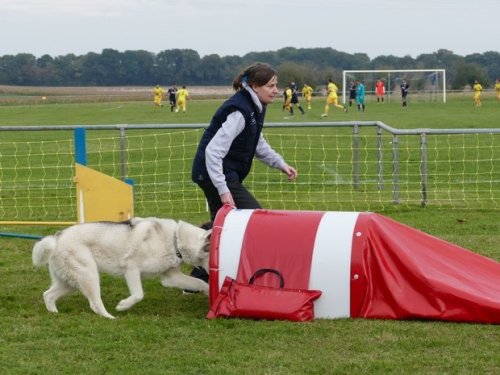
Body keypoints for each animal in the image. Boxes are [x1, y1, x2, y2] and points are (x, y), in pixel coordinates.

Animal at [31, 217, 211, 320]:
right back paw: (110, 318)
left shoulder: (170, 277)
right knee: (95, 304)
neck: (175, 240)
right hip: (89, 276)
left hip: (70, 283)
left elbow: (201, 284)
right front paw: (123, 305)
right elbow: (138, 295)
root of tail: (56, 239)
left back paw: (54, 314)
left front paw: (210, 293)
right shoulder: (131, 269)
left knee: (48, 295)